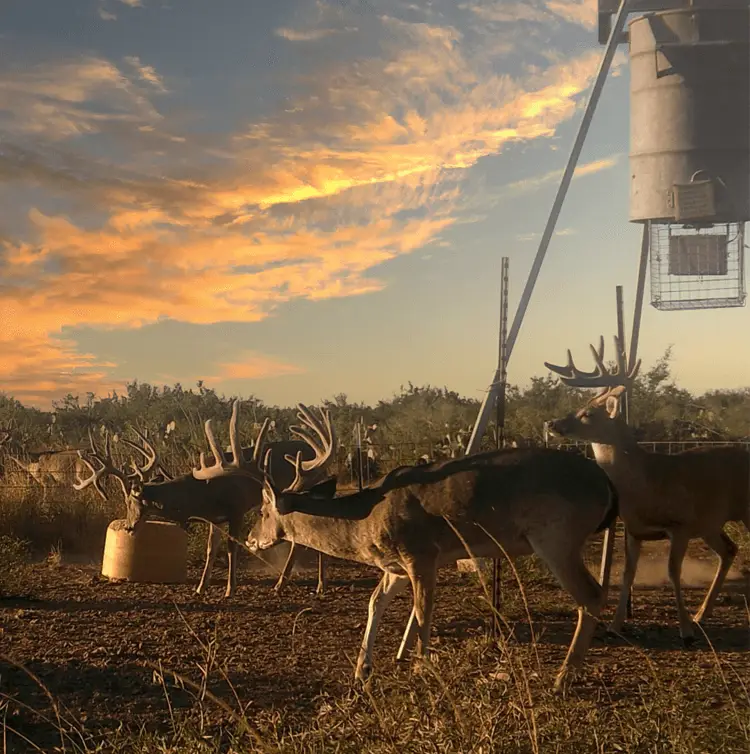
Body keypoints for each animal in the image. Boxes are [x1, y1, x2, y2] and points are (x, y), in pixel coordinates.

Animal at [75, 401, 336, 598]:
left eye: (131, 502)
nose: (128, 527)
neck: (201, 493)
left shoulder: (236, 509)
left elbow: (231, 549)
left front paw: (230, 589)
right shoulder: (215, 518)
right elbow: (211, 549)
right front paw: (201, 587)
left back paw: (291, 584)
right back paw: (315, 584)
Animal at [246, 446, 619, 692]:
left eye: (263, 511)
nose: (250, 540)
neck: (365, 522)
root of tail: (607, 485)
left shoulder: (420, 554)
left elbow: (423, 610)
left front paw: (421, 669)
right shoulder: (396, 565)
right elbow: (375, 602)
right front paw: (362, 670)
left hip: (556, 535)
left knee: (591, 595)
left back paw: (562, 678)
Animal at [544, 336, 750, 644]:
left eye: (588, 413)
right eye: (583, 404)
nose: (552, 423)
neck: (644, 486)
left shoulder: (681, 525)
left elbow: (673, 572)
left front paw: (685, 631)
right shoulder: (634, 529)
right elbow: (628, 574)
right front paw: (615, 625)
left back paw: (697, 618)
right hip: (710, 524)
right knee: (729, 550)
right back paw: (702, 614)